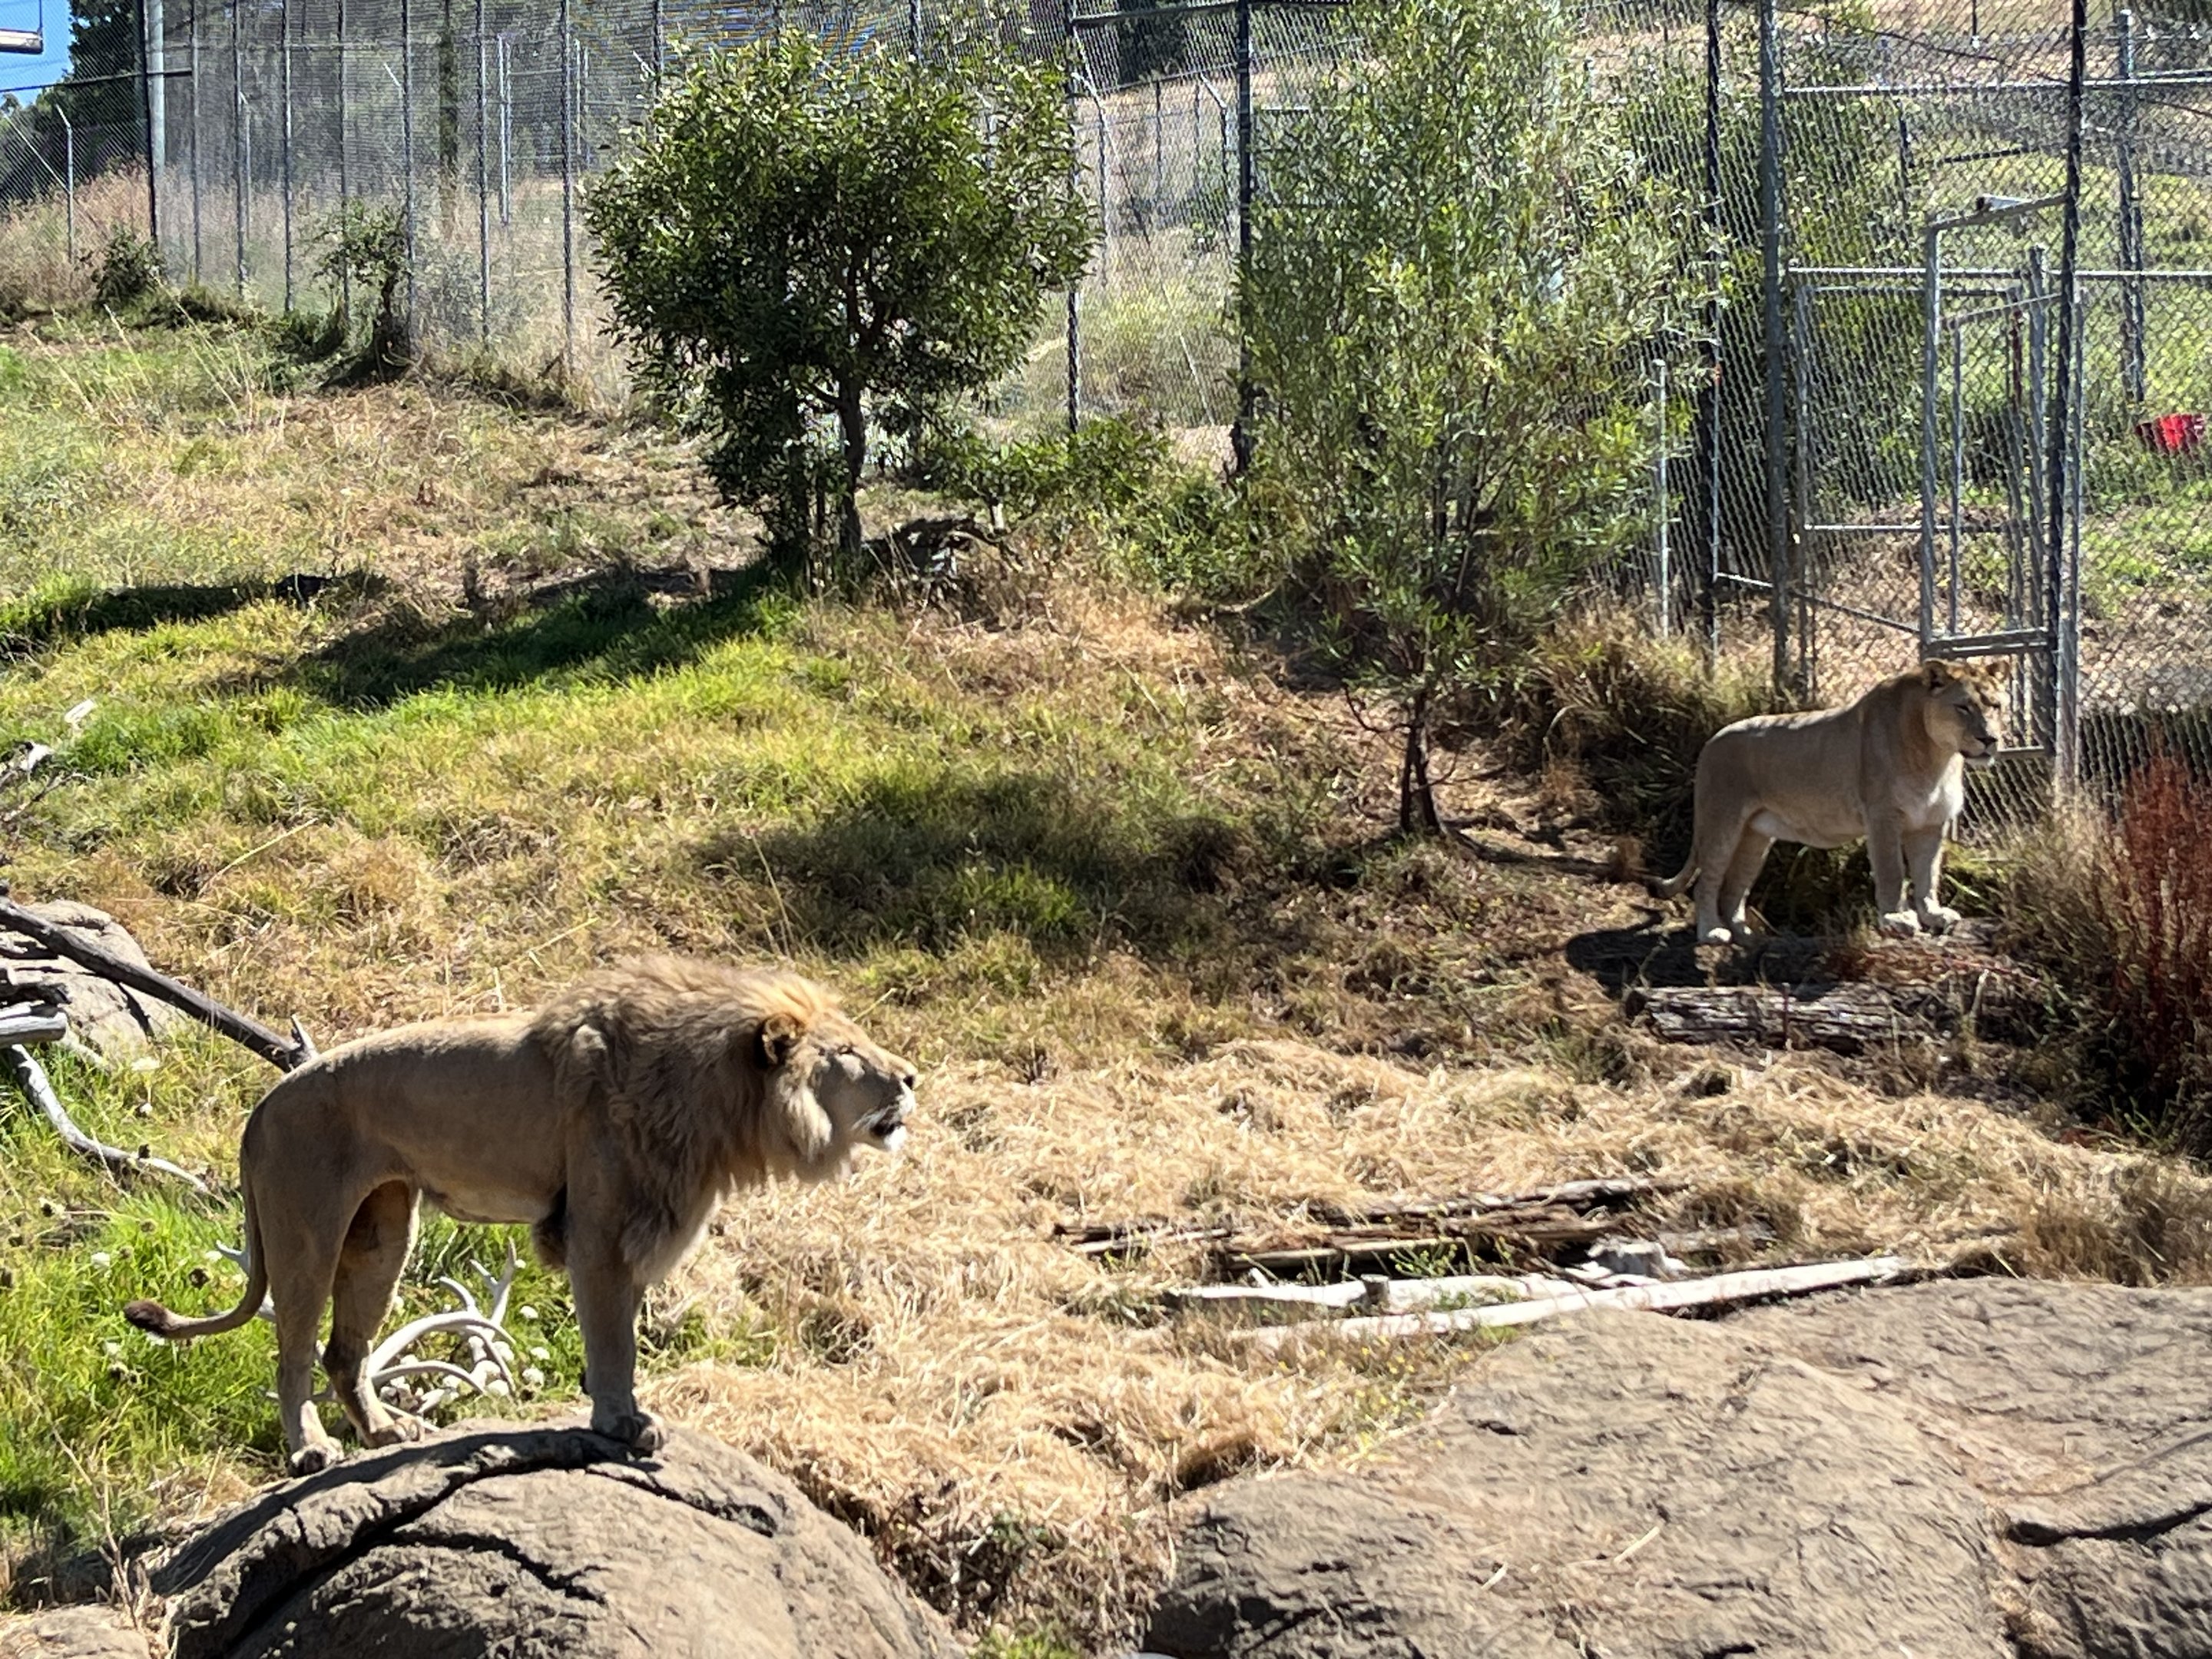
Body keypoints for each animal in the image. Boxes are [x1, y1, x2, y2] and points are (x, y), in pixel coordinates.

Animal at [124, 956, 917, 1475]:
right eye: (848, 1053)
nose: (911, 1077)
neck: (715, 1095)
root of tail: (262, 1106)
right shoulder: (600, 1231)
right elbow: (613, 1340)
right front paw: (622, 1424)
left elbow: (621, 1334)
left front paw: (616, 1412)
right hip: (306, 1231)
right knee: (292, 1354)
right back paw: (311, 1450)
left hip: (383, 1231)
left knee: (342, 1354)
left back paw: (387, 1434)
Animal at [1650, 657, 2004, 946]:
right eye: (1964, 707)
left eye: (1996, 706)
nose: (1990, 739)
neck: (1938, 756)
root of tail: (1711, 741)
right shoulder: (1883, 817)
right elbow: (1892, 870)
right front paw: (1897, 918)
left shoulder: (1931, 822)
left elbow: (1928, 872)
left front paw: (1933, 913)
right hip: (1721, 822)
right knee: (1706, 883)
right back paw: (1712, 932)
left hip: (1756, 836)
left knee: (1733, 888)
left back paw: (1746, 935)